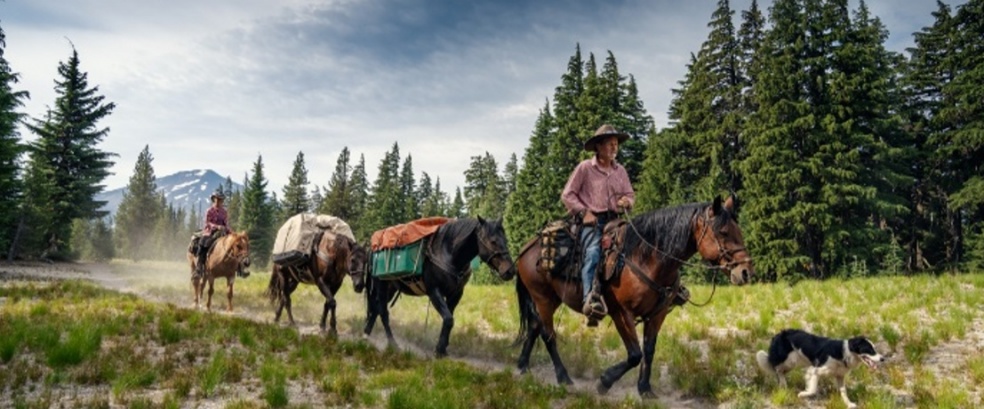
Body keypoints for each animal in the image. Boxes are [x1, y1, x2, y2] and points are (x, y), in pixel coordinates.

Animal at [362, 217, 516, 356]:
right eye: (493, 241)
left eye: (505, 240)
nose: (510, 271)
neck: (448, 253)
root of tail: (372, 250)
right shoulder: (434, 291)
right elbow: (448, 319)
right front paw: (440, 349)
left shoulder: (456, 294)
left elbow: (450, 318)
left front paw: (443, 347)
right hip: (381, 286)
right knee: (383, 312)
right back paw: (393, 344)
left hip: (391, 289)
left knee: (376, 310)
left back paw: (366, 334)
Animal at [516, 196, 752, 396]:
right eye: (723, 232)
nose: (745, 271)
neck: (646, 258)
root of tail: (528, 247)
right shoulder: (621, 313)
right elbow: (635, 354)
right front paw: (605, 381)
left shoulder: (657, 314)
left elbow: (648, 350)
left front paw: (645, 388)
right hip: (542, 298)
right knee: (548, 335)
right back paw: (563, 377)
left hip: (553, 299)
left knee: (535, 326)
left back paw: (522, 366)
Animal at [756, 328, 888, 408]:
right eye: (869, 350)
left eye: (874, 349)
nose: (883, 359)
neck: (844, 353)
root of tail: (778, 334)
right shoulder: (815, 370)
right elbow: (813, 389)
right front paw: (803, 394)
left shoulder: (839, 376)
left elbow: (843, 391)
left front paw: (849, 404)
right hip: (790, 360)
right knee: (777, 369)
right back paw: (783, 384)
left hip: (795, 362)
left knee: (779, 370)